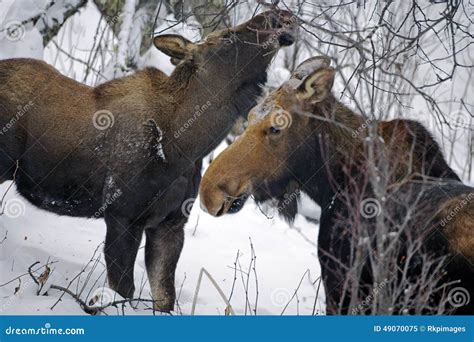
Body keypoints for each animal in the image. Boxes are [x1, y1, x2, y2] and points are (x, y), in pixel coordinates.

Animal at [0, 9, 296, 312]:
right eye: (226, 37)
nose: (280, 14)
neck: (187, 145)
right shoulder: (123, 216)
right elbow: (122, 292)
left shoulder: (171, 224)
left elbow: (164, 298)